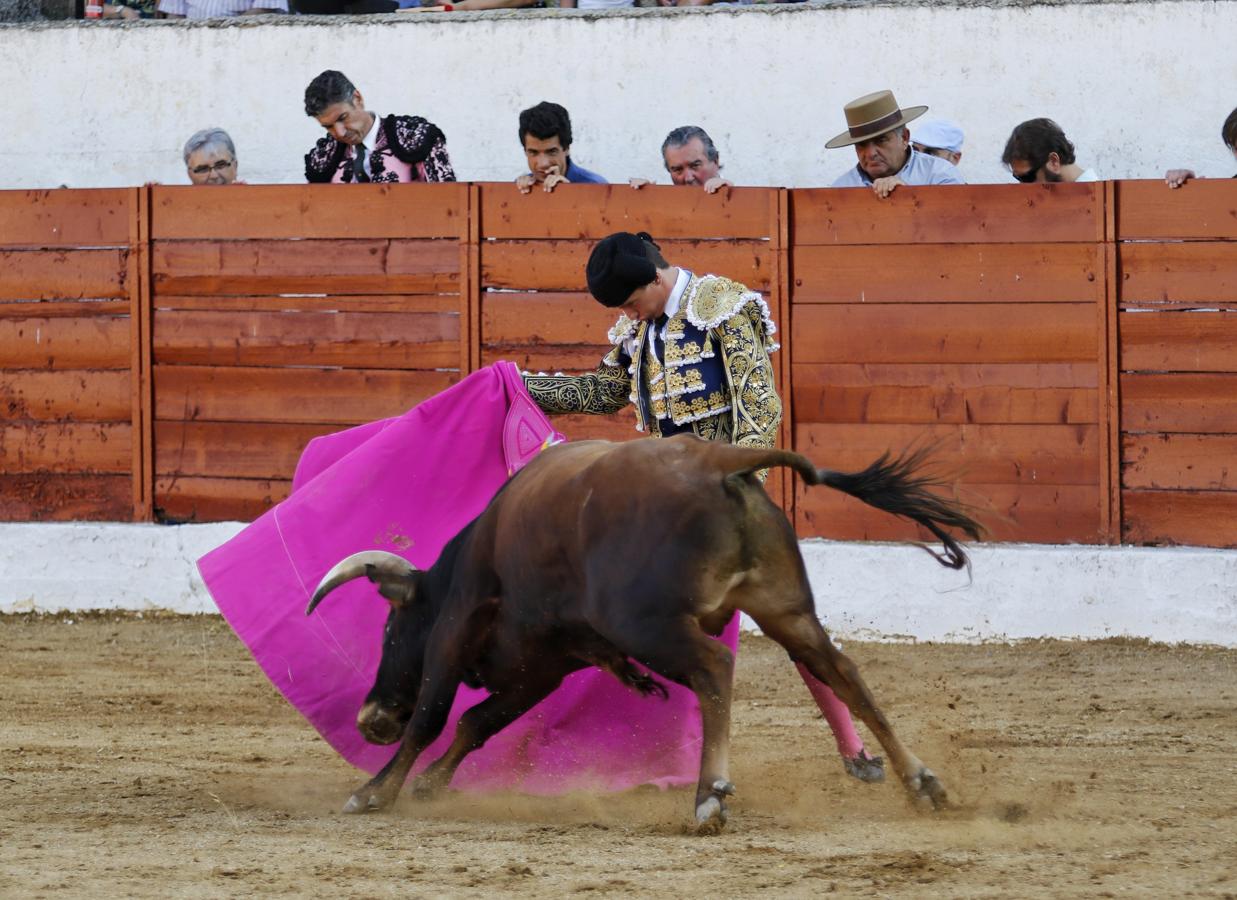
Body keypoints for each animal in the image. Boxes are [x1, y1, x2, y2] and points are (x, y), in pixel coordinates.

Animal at [304, 435, 979, 830]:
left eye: (391, 631)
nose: (370, 718)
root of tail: (721, 462)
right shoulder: (544, 666)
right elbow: (478, 722)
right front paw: (428, 786)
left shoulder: (457, 629)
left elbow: (434, 715)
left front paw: (375, 793)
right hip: (785, 610)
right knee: (841, 671)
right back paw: (921, 783)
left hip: (649, 624)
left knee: (714, 668)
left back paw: (710, 796)